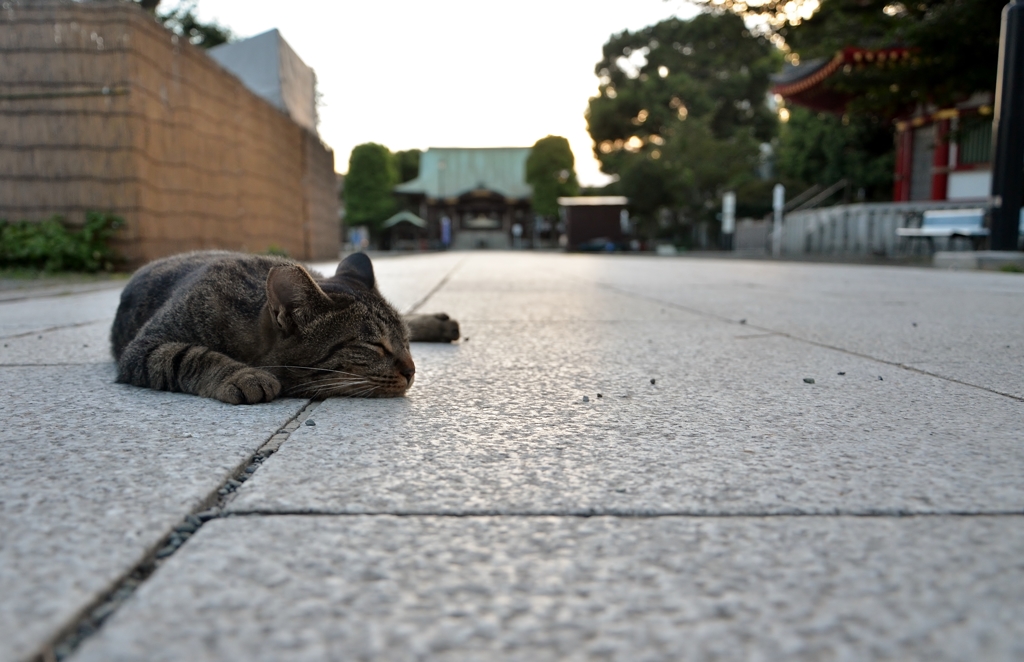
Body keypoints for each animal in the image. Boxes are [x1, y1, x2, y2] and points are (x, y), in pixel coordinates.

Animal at [112, 250, 460, 401]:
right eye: (373, 345)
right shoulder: (143, 348)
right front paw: (243, 375)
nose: (412, 370)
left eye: (406, 342)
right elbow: (191, 355)